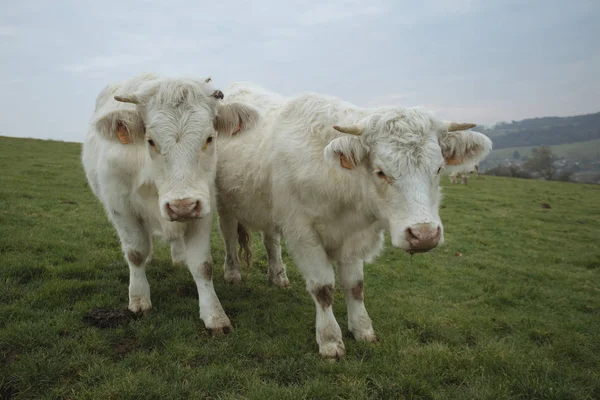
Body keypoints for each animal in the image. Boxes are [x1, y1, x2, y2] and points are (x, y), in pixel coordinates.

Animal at [81, 72, 258, 334]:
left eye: (209, 138)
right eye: (151, 141)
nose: (181, 205)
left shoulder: (203, 206)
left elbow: (203, 265)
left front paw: (214, 315)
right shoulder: (119, 206)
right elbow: (135, 253)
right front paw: (139, 300)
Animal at [216, 83, 492, 358]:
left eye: (438, 169)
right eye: (381, 172)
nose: (423, 234)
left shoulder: (353, 236)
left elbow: (355, 285)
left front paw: (362, 329)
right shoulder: (302, 233)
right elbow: (323, 288)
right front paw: (330, 340)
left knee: (270, 240)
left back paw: (278, 276)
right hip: (225, 204)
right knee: (228, 236)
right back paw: (232, 272)